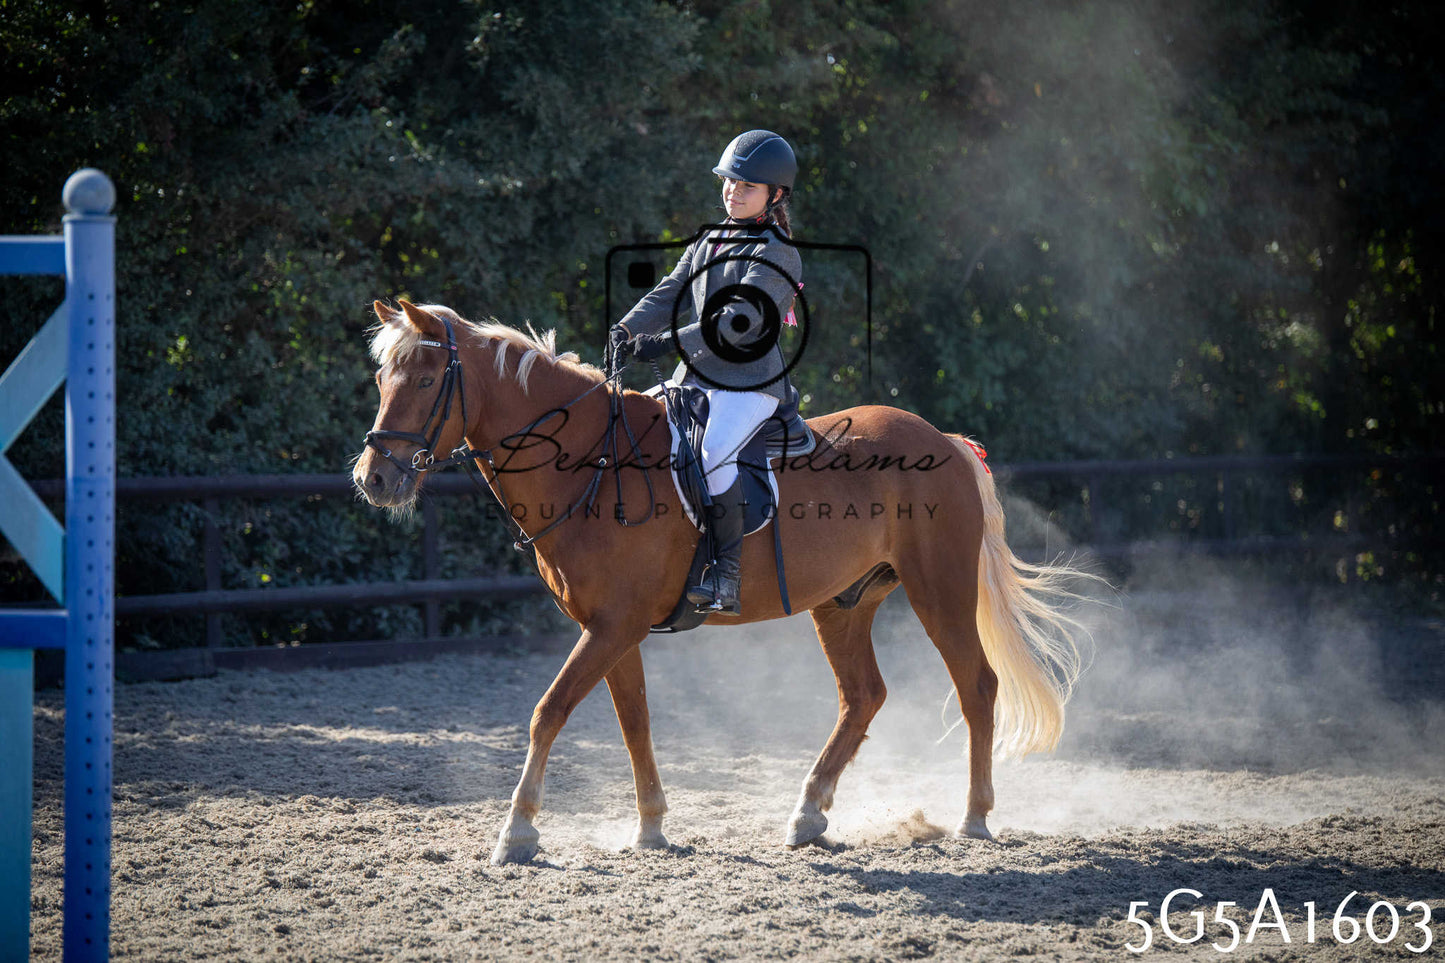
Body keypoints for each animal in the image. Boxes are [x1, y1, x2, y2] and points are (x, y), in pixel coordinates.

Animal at [352, 299, 1095, 865]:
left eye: (425, 381)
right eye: (383, 377)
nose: (374, 478)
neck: (591, 461)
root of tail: (944, 441)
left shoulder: (612, 627)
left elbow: (549, 711)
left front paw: (518, 831)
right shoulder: (612, 628)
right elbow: (634, 722)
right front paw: (651, 826)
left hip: (938, 590)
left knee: (976, 686)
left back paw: (973, 816)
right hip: (843, 604)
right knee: (863, 696)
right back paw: (808, 813)